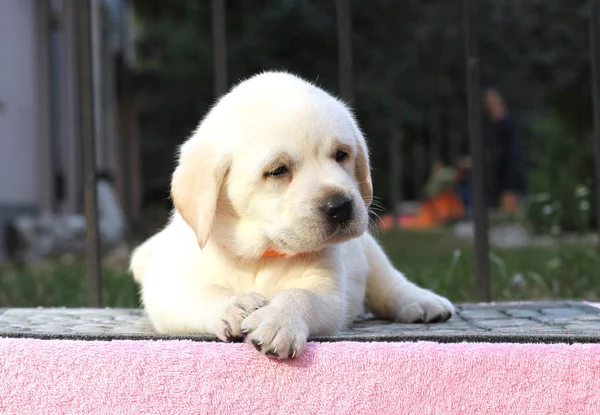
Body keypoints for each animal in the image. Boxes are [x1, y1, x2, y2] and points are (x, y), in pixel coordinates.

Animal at [130, 70, 450, 358]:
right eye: (278, 171)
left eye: (341, 155)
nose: (340, 206)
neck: (259, 256)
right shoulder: (167, 285)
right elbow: (202, 293)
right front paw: (235, 305)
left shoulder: (327, 289)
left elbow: (300, 295)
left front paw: (279, 322)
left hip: (368, 250)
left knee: (389, 284)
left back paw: (424, 303)